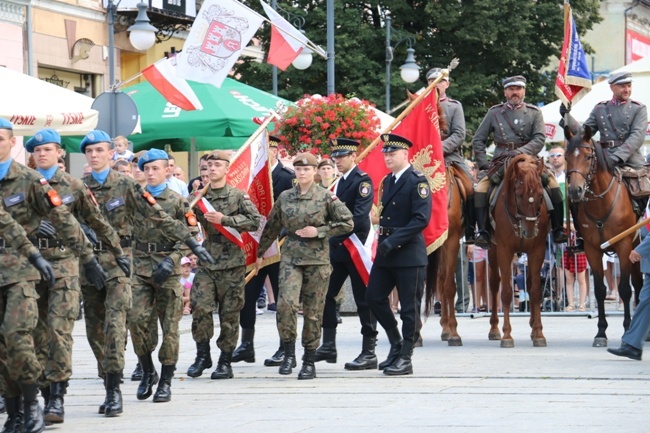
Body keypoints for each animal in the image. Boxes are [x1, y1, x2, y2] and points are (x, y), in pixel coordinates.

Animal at [486, 154, 548, 348]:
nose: (529, 232)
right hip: (493, 251)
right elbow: (506, 292)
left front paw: (539, 333)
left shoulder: (538, 250)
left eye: (540, 195)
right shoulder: (504, 251)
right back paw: (494, 329)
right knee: (494, 284)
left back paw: (533, 326)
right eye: (519, 195)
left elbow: (535, 291)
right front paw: (507, 335)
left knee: (529, 282)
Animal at [560, 124, 636, 344]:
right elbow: (600, 290)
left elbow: (624, 289)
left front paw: (627, 329)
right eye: (567, 157)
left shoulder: (624, 247)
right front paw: (601, 332)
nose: (575, 191)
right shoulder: (592, 249)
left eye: (588, 157)